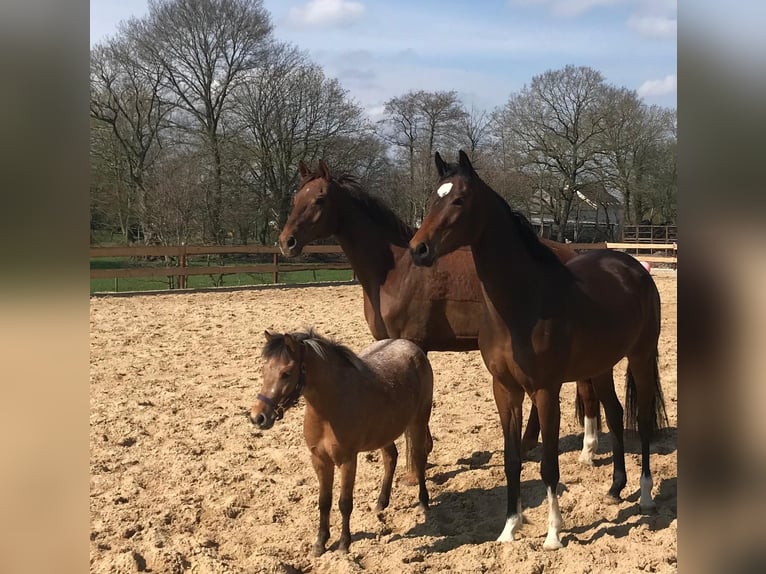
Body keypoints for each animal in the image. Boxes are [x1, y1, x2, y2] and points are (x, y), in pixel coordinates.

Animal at [249, 329, 434, 556]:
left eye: (287, 373)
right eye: (264, 369)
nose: (258, 417)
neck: (329, 410)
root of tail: (412, 348)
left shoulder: (347, 460)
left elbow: (344, 503)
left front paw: (344, 544)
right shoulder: (320, 460)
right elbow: (324, 502)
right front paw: (320, 543)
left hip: (418, 422)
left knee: (418, 457)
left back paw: (423, 502)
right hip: (385, 432)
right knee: (391, 458)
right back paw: (381, 503)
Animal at [278, 159, 603, 464]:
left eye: (320, 199)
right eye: (295, 198)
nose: (286, 241)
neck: (394, 270)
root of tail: (572, 254)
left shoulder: (414, 343)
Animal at [409, 151, 668, 550]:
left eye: (459, 200)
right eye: (433, 199)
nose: (418, 249)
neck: (521, 306)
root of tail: (631, 265)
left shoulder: (545, 391)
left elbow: (548, 465)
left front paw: (553, 535)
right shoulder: (506, 390)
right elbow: (512, 459)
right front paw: (508, 529)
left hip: (639, 357)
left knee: (639, 421)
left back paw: (644, 495)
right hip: (600, 366)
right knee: (614, 413)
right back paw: (615, 488)